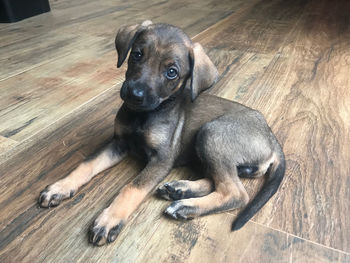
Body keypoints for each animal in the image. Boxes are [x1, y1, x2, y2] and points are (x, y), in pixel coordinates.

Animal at [38, 20, 286, 248]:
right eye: (137, 55)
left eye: (171, 72)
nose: (134, 94)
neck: (144, 116)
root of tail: (272, 138)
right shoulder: (118, 143)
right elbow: (86, 165)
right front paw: (60, 187)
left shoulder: (161, 159)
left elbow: (132, 188)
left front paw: (109, 219)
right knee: (218, 181)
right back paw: (179, 189)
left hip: (211, 133)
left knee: (235, 193)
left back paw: (186, 204)